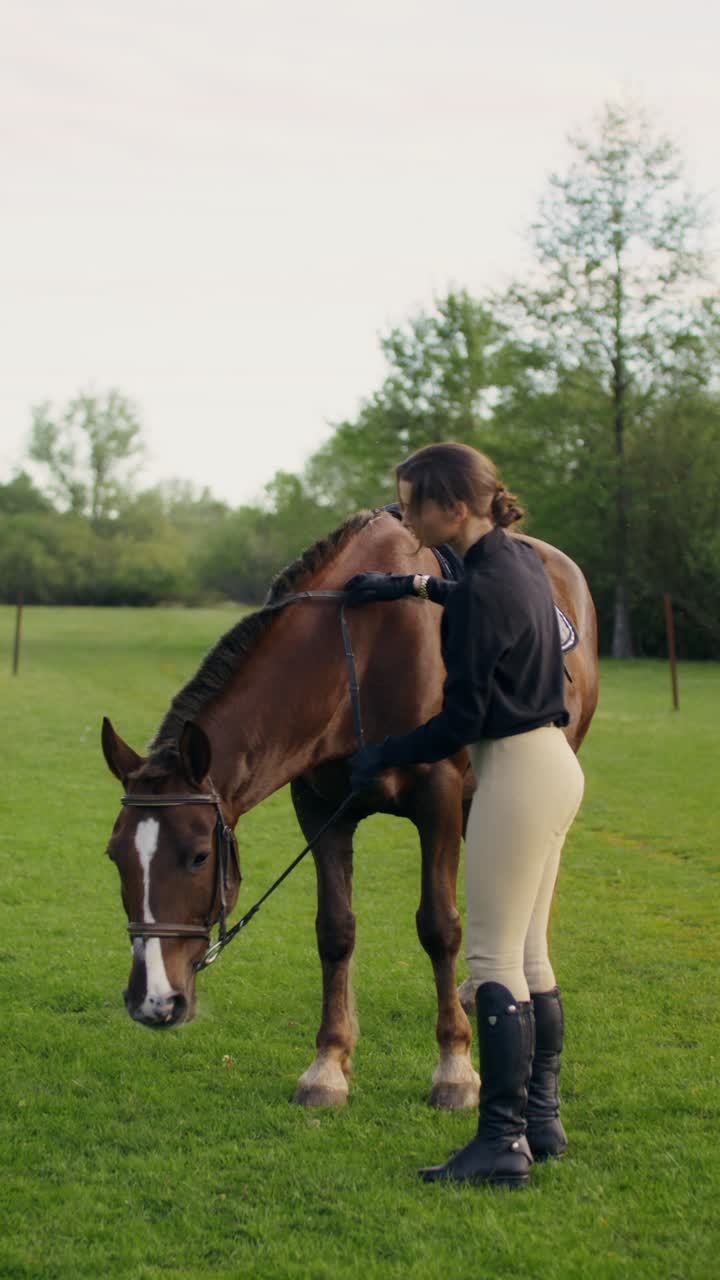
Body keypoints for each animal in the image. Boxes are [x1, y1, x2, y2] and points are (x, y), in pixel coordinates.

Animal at [101, 509, 598, 1109]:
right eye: (115, 855)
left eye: (198, 856)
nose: (152, 1000)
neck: (360, 653)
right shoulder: (319, 808)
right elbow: (335, 930)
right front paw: (327, 1065)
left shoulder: (437, 799)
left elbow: (439, 927)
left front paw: (455, 1067)